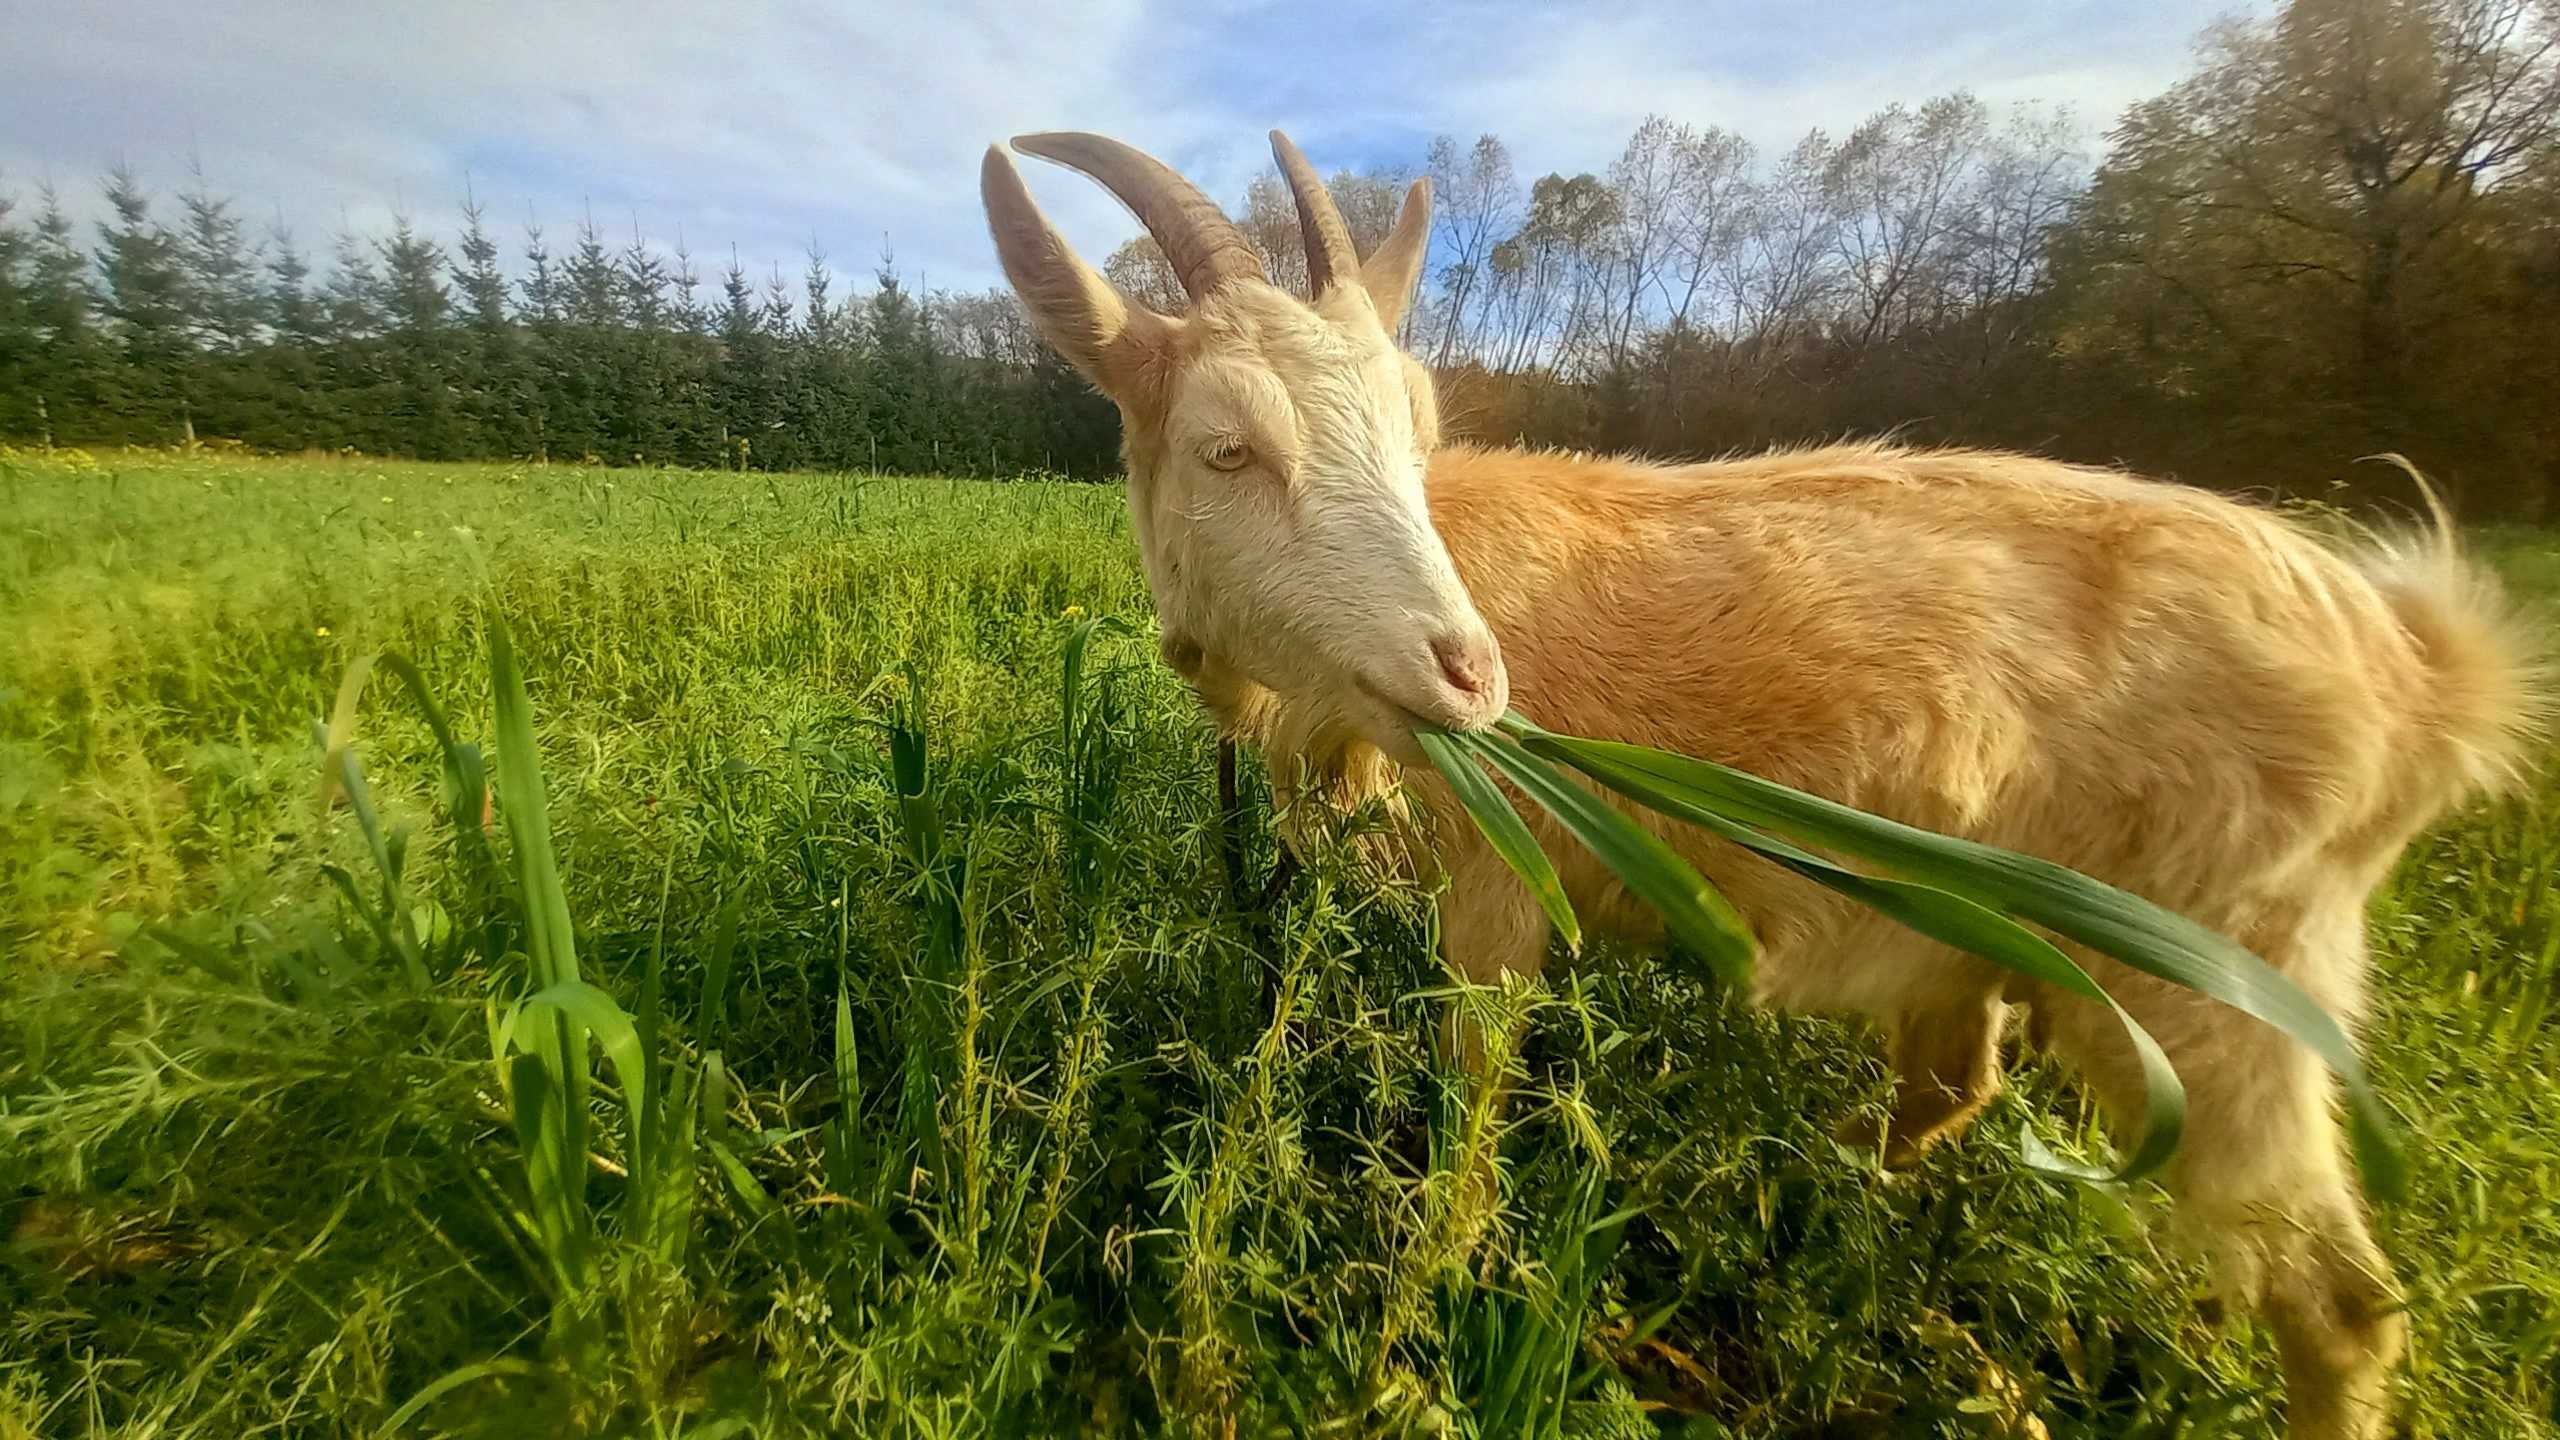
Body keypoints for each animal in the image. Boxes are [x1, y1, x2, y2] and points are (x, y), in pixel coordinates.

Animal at [972, 126, 2539, 1434]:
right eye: (1229, 449)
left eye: (1414, 439)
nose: (1470, 678)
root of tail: (2414, 672)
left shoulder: (1497, 889)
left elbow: (1469, 1107)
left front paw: (1414, 1327)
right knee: (1954, 1087)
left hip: (2223, 979)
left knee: (2339, 1305)